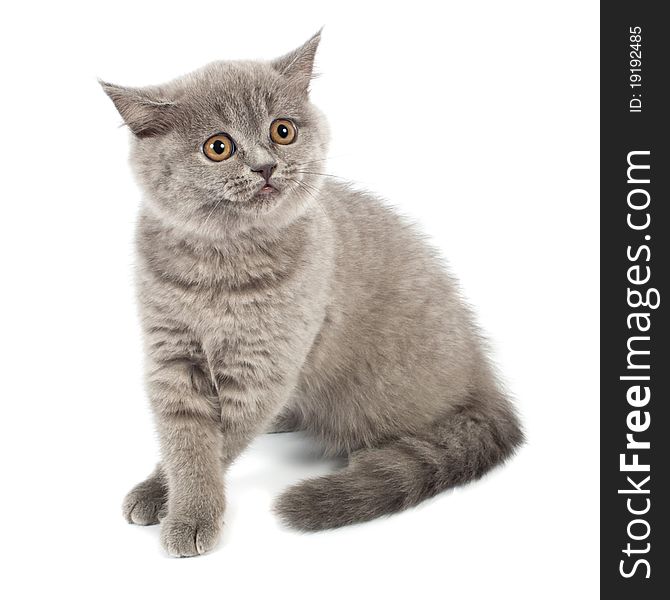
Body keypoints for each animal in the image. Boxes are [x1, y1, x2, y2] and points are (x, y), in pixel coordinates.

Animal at [102, 31, 528, 556]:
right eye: (218, 147)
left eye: (282, 130)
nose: (266, 166)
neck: (220, 265)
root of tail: (483, 376)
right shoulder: (173, 353)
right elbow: (185, 439)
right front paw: (163, 493)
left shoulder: (264, 365)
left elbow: (214, 446)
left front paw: (187, 513)